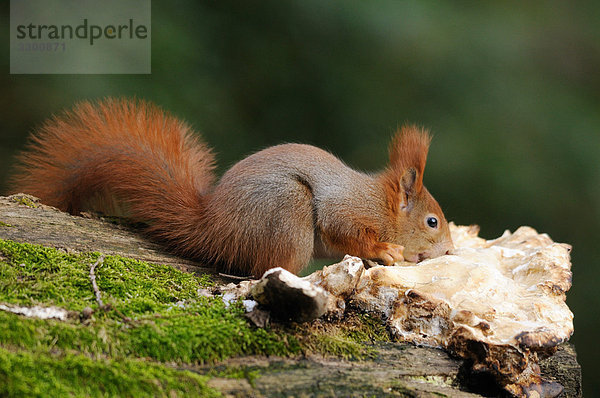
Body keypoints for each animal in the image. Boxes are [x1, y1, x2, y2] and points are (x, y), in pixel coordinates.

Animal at [10, 97, 450, 276]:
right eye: (432, 222)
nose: (449, 251)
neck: (381, 203)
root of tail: (212, 229)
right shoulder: (347, 208)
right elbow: (346, 232)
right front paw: (385, 250)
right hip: (287, 211)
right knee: (262, 270)